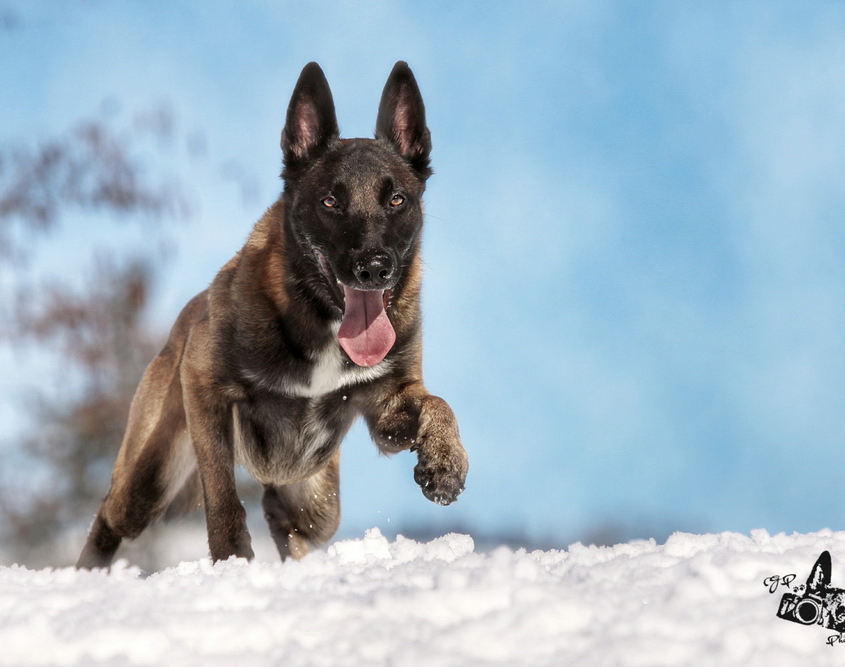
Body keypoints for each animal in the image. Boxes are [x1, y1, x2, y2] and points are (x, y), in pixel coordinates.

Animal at [76, 61, 468, 568]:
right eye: (330, 202)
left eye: (397, 199)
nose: (374, 268)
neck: (319, 319)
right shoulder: (206, 391)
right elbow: (223, 495)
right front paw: (232, 560)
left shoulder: (388, 408)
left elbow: (438, 404)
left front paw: (446, 464)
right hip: (149, 476)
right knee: (112, 512)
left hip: (315, 502)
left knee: (285, 516)